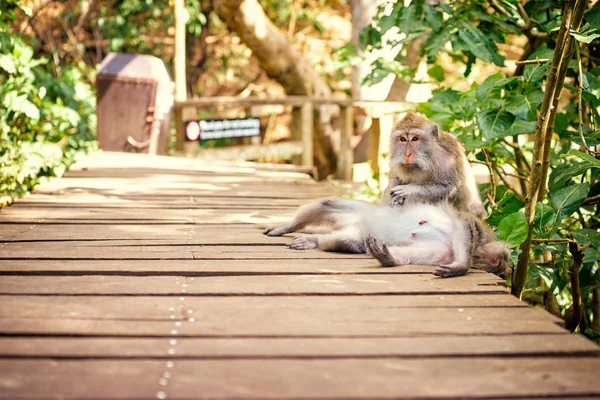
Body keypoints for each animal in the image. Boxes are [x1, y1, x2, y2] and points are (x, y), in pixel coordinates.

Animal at [264, 197, 508, 278]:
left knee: (347, 241)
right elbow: (464, 224)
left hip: (353, 230)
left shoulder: (443, 252)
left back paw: (317, 242)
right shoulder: (474, 227)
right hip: (356, 210)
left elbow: (408, 255)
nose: (501, 263)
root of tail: (355, 223)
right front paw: (462, 264)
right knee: (327, 203)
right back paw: (288, 226)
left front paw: (387, 258)